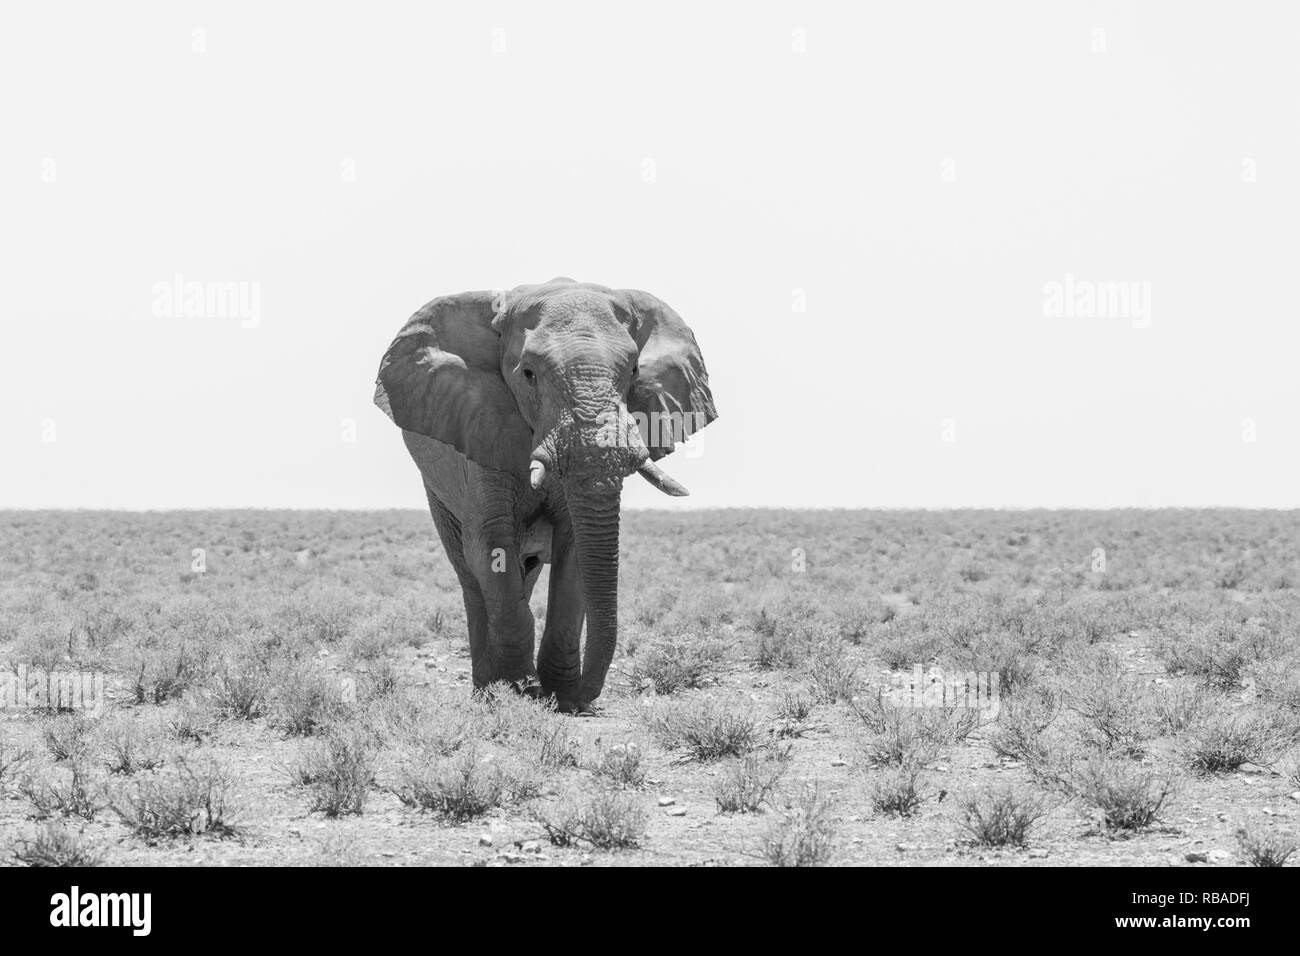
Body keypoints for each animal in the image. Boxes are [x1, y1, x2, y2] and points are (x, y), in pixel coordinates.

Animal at [377, 277, 717, 712]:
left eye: (634, 370)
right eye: (528, 374)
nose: (587, 700)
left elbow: (574, 548)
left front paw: (563, 698)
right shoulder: (479, 425)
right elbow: (491, 543)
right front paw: (519, 692)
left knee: (526, 570)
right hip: (437, 489)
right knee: (470, 574)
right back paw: (486, 690)